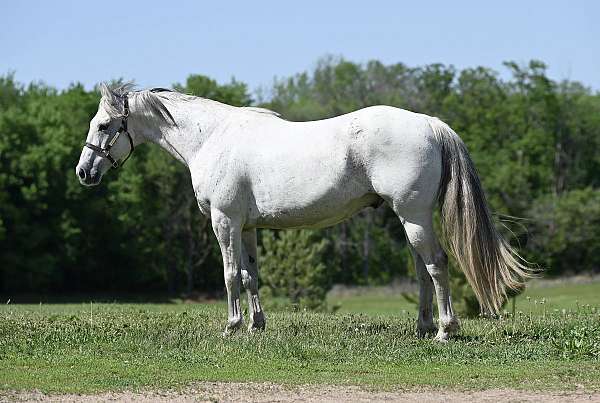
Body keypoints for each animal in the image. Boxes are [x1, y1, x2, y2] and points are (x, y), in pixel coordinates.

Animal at [77, 83, 532, 342]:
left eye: (103, 125)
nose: (84, 172)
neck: (211, 138)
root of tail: (431, 124)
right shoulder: (247, 227)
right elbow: (250, 274)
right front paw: (257, 326)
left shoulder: (224, 221)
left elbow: (229, 275)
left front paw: (232, 327)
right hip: (408, 218)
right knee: (422, 269)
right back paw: (422, 328)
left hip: (415, 216)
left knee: (436, 265)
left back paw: (445, 330)